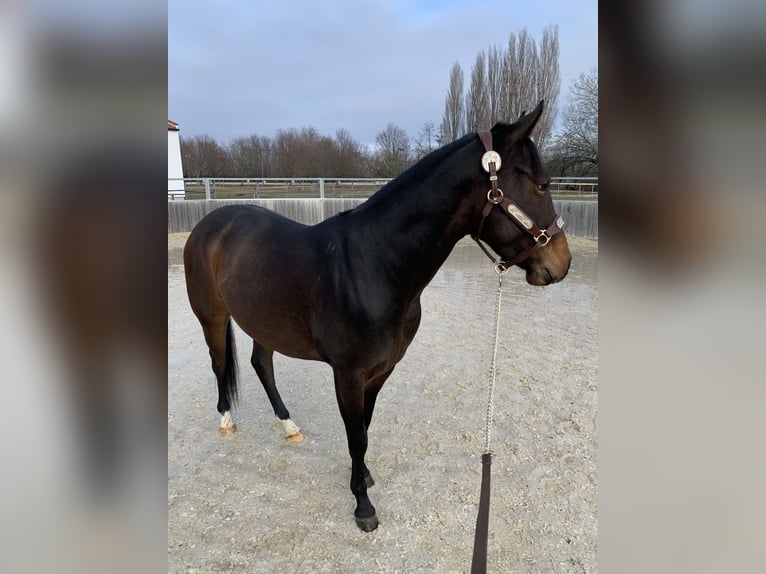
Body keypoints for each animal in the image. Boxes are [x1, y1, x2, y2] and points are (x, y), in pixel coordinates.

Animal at [183, 101, 571, 532]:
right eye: (541, 185)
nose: (562, 264)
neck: (376, 265)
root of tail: (211, 223)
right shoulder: (348, 374)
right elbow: (356, 436)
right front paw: (363, 506)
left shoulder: (381, 370)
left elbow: (365, 429)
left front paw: (363, 477)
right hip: (212, 317)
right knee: (220, 363)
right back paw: (226, 421)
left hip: (264, 323)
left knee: (261, 365)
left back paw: (289, 427)